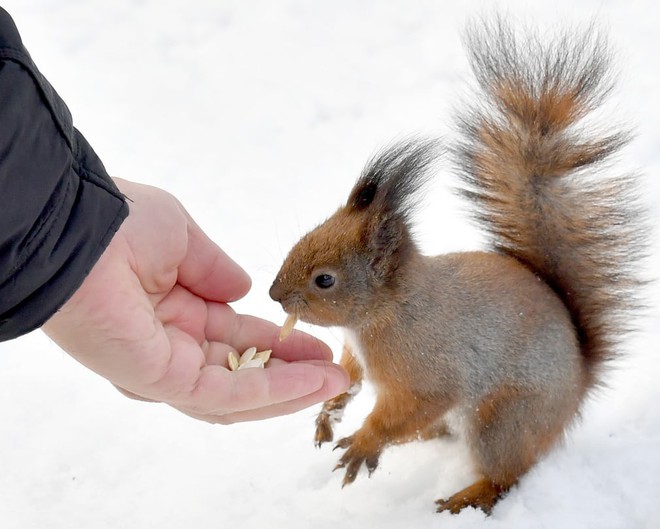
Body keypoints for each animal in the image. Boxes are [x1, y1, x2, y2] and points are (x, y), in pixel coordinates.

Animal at [268, 20, 644, 512]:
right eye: (304, 239)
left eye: (325, 280)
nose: (274, 295)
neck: (385, 313)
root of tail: (580, 382)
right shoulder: (357, 355)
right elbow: (349, 378)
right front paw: (328, 413)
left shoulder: (426, 370)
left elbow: (406, 410)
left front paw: (364, 442)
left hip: (501, 420)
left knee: (506, 474)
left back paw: (464, 497)